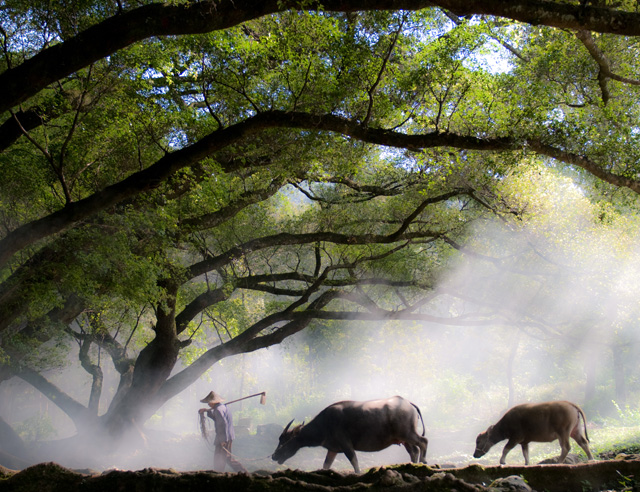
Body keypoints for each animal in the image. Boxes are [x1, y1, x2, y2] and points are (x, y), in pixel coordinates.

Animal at [272, 396, 428, 472]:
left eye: (285, 440)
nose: (274, 456)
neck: (324, 424)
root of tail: (408, 403)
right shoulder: (333, 449)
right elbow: (326, 465)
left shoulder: (346, 445)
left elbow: (355, 464)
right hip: (404, 439)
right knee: (414, 450)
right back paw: (414, 465)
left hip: (408, 434)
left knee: (423, 441)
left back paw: (424, 462)